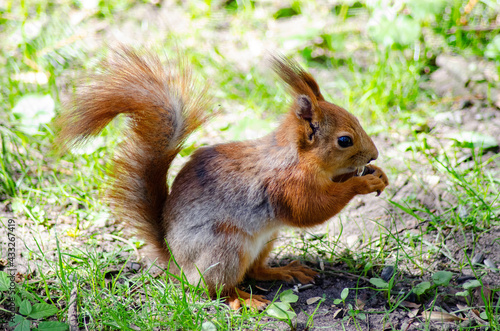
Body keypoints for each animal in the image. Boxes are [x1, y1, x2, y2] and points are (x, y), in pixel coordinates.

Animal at [55, 46, 390, 312]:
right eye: (344, 141)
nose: (373, 154)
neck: (297, 157)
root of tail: (175, 261)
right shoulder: (286, 185)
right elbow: (311, 210)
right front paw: (362, 183)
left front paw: (378, 175)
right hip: (224, 249)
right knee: (215, 289)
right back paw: (243, 299)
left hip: (265, 240)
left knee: (254, 271)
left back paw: (284, 271)